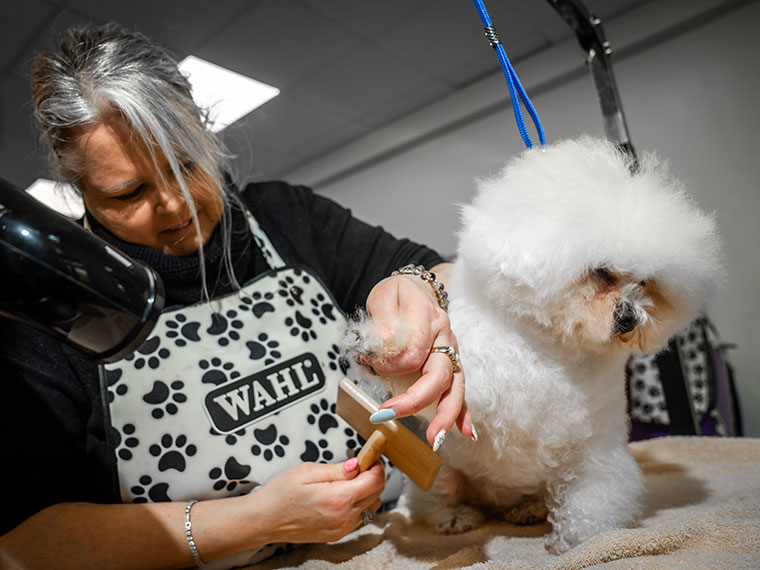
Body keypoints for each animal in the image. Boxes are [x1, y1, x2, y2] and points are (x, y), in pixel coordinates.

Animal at [348, 136, 720, 552]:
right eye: (601, 271)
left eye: (645, 283)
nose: (630, 318)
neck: (551, 347)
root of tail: (494, 501)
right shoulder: (476, 395)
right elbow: (431, 377)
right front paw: (382, 347)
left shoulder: (592, 454)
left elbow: (592, 502)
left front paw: (580, 542)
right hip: (439, 469)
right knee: (432, 499)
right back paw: (456, 517)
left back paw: (526, 510)